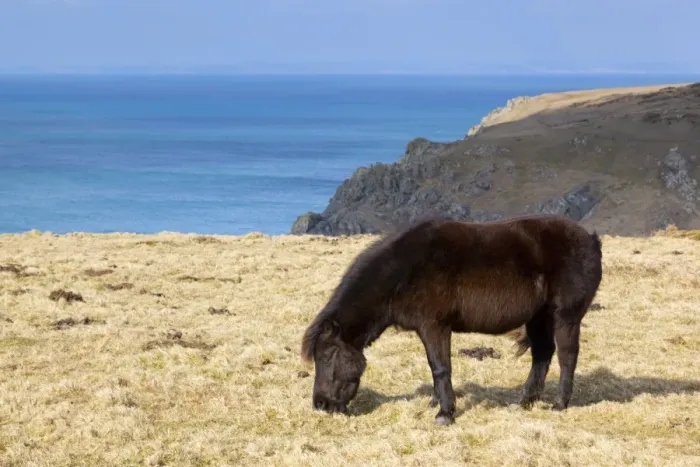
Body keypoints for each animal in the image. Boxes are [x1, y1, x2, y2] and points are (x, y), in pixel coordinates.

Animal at [300, 214, 603, 425]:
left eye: (326, 356)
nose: (320, 405)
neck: (404, 272)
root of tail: (590, 239)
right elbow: (435, 367)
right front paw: (436, 403)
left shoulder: (434, 327)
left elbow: (440, 367)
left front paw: (445, 413)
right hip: (538, 317)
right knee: (542, 354)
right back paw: (525, 401)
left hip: (565, 316)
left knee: (566, 356)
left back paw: (559, 404)